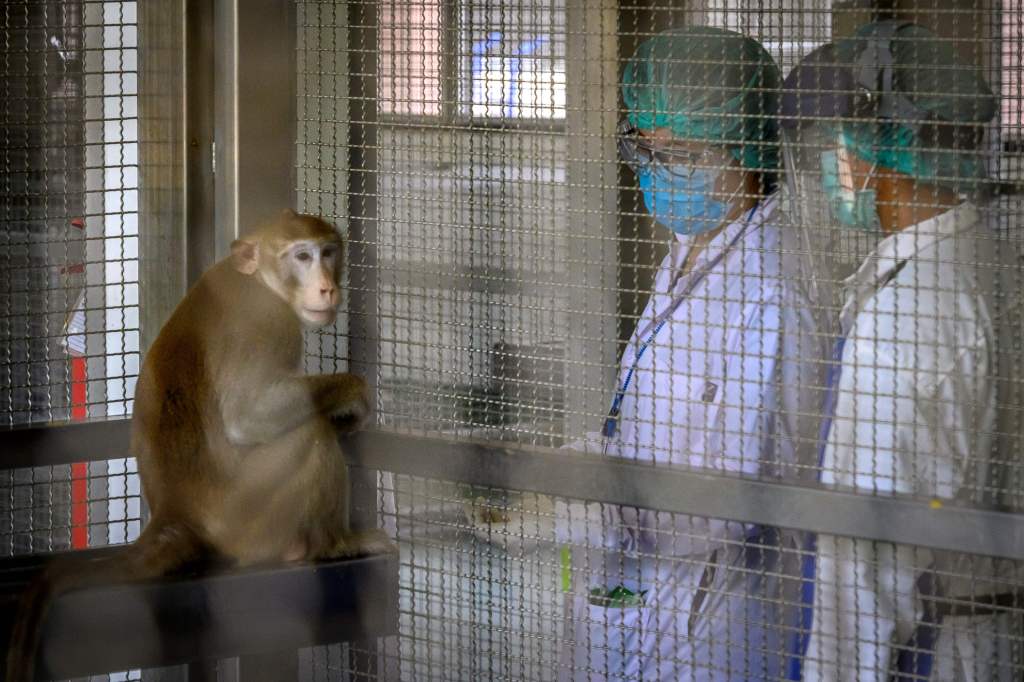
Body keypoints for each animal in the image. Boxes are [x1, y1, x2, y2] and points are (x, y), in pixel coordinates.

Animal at [6, 209, 393, 675]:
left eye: (328, 252)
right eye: (302, 256)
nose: (327, 286)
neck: (258, 278)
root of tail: (175, 515)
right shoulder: (269, 319)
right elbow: (249, 414)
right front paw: (353, 394)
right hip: (247, 517)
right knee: (309, 434)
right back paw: (332, 544)